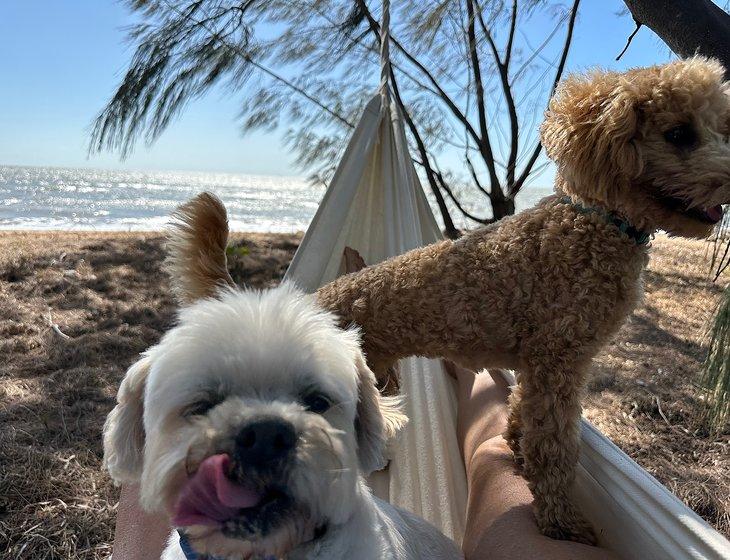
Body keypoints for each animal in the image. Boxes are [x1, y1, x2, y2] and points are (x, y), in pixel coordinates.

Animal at [169, 57, 728, 548]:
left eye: (719, 128)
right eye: (679, 133)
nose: (728, 185)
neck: (597, 221)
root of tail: (311, 300)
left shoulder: (540, 365)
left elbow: (525, 416)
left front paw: (516, 449)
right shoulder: (560, 361)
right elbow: (556, 448)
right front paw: (562, 524)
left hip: (380, 368)